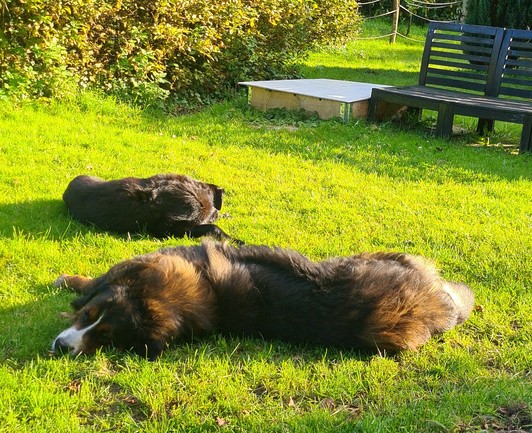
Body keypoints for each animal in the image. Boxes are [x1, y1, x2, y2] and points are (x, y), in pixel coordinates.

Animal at [50, 240, 474, 358]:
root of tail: (437, 309)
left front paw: (67, 279)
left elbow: (89, 278)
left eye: (106, 337)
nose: (61, 347)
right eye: (88, 317)